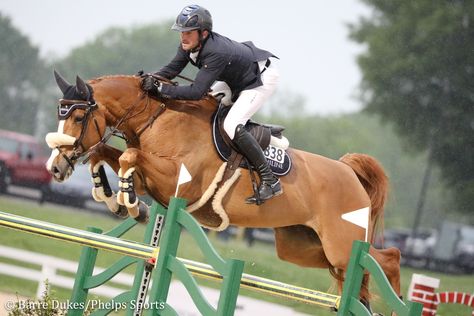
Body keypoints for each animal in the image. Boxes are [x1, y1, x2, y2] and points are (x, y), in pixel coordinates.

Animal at [45, 71, 400, 306]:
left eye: (78, 116)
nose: (55, 167)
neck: (158, 118)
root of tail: (349, 171)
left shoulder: (178, 182)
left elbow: (128, 157)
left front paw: (132, 204)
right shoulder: (152, 176)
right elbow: (107, 155)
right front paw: (116, 200)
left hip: (341, 247)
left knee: (387, 259)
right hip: (301, 247)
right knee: (361, 274)